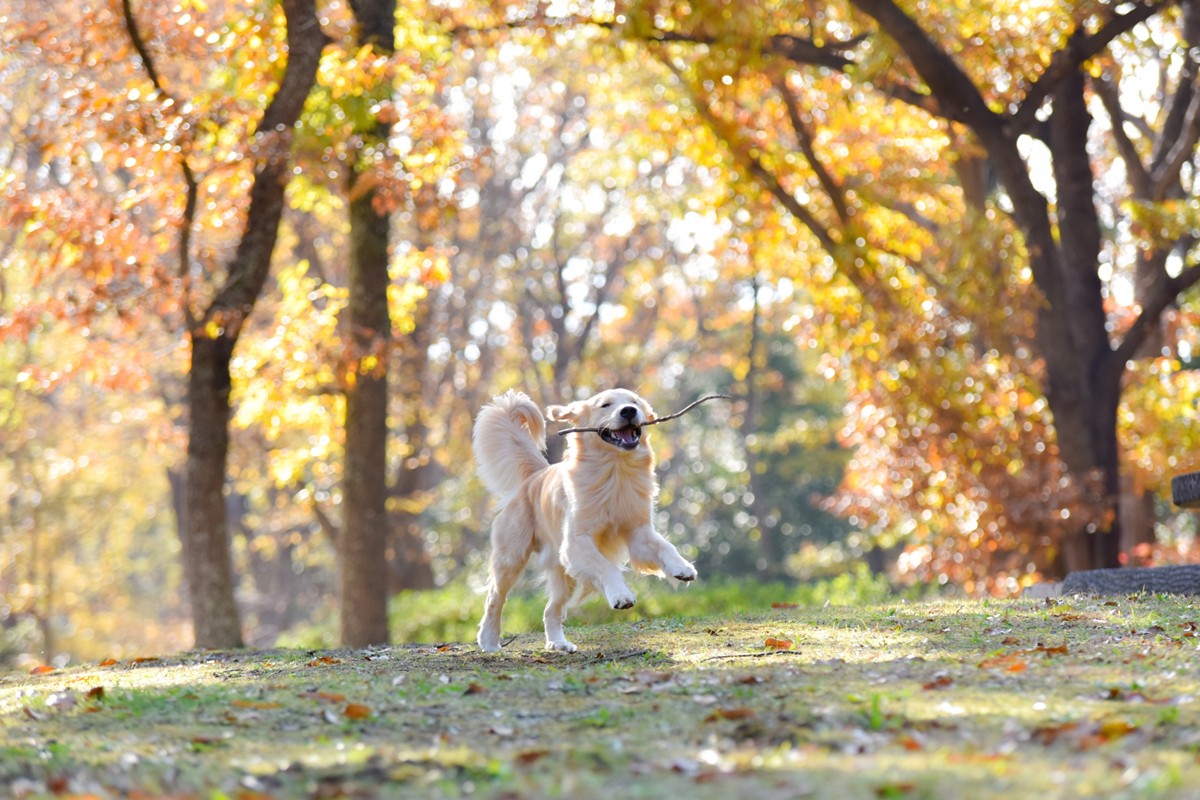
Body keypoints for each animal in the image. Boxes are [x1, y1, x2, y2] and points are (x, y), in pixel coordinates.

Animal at [472, 388, 700, 652]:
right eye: (605, 405)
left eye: (634, 402)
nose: (629, 411)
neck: (615, 468)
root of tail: (534, 476)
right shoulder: (576, 542)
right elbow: (605, 566)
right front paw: (621, 596)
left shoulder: (638, 532)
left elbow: (665, 546)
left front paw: (682, 567)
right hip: (512, 557)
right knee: (495, 598)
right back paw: (489, 640)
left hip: (564, 574)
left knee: (550, 610)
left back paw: (558, 643)